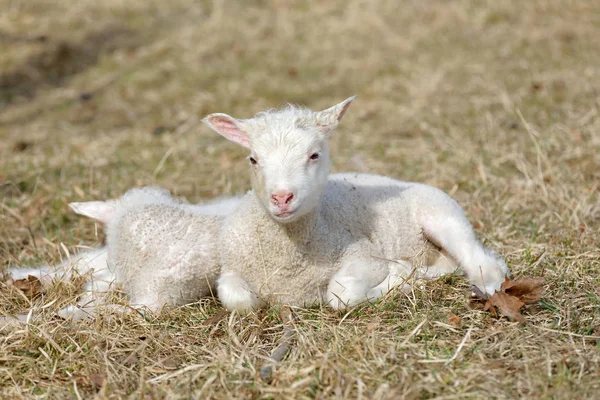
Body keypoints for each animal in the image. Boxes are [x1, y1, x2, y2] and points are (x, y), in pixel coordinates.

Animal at [204, 96, 508, 312]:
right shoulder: (232, 267)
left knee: (484, 263)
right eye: (253, 159)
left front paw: (393, 279)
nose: (281, 197)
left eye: (314, 155)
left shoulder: (363, 256)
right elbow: (236, 298)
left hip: (443, 216)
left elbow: (343, 294)